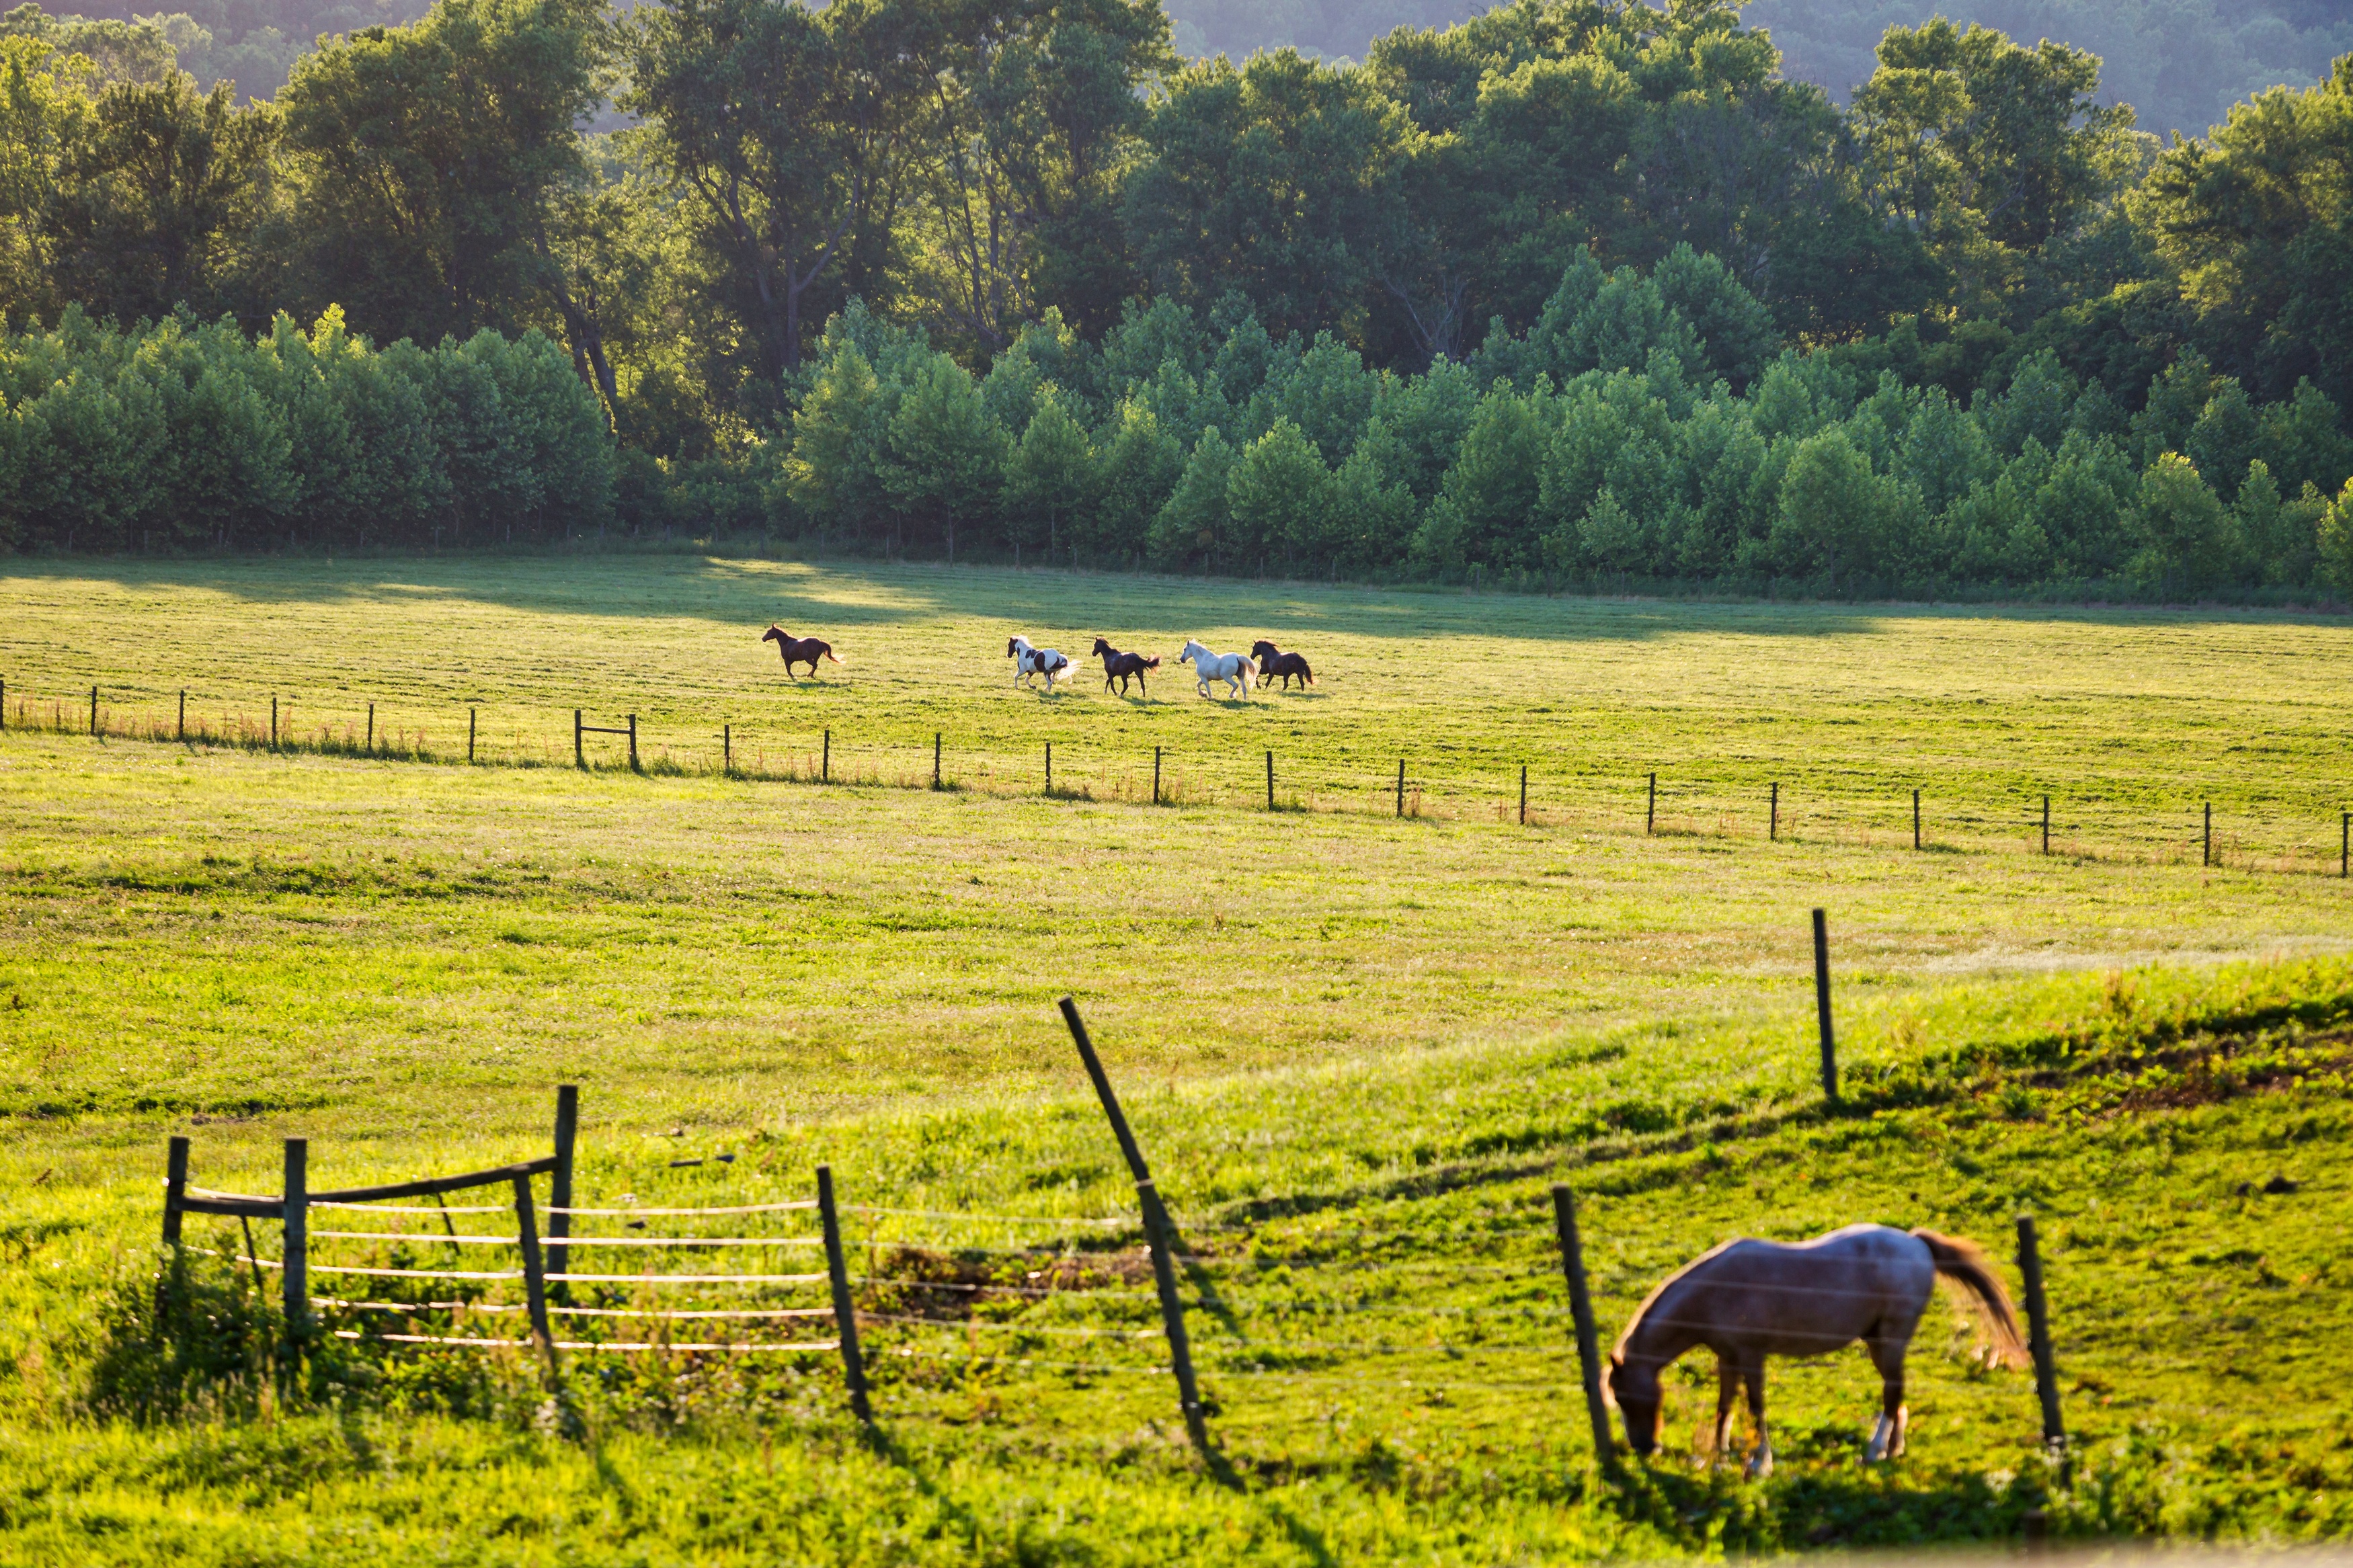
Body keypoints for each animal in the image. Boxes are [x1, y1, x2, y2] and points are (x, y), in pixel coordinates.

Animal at [1609, 1222, 2033, 1476]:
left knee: (1892, 1391)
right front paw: (1720, 1459)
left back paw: (1874, 1451)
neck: (1716, 1290)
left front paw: (1760, 1463)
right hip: (1879, 1343)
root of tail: (1915, 1243)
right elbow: (1724, 1408)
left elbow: (1756, 1407)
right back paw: (1893, 1449)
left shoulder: (1751, 1357)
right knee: (1896, 1393)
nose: (1643, 1448)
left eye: (1624, 1396)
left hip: (1890, 1341)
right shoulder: (1728, 1358)